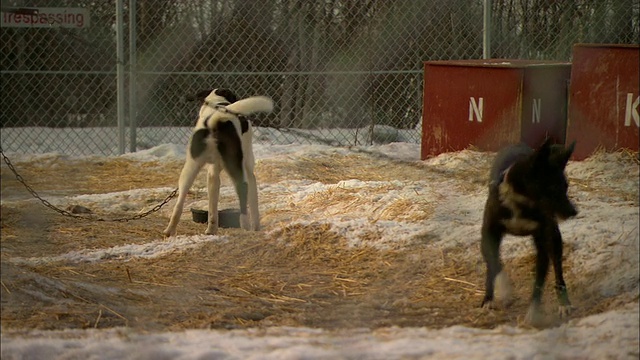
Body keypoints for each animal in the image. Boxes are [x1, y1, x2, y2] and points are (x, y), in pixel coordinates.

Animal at [162, 88, 272, 238]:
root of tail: (215, 121)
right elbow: (253, 202)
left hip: (190, 168)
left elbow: (212, 208)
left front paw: (212, 228)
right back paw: (245, 224)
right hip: (235, 166)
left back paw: (170, 230)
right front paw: (256, 227)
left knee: (179, 203)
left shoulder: (212, 174)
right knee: (243, 191)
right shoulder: (248, 170)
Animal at [480, 138, 580, 326]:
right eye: (552, 187)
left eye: (566, 186)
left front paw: (533, 314)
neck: (521, 204)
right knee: (491, 264)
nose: (574, 212)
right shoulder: (489, 235)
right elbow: (495, 264)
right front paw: (504, 290)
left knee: (558, 273)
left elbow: (539, 283)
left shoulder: (544, 241)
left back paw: (564, 304)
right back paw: (489, 298)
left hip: (555, 239)